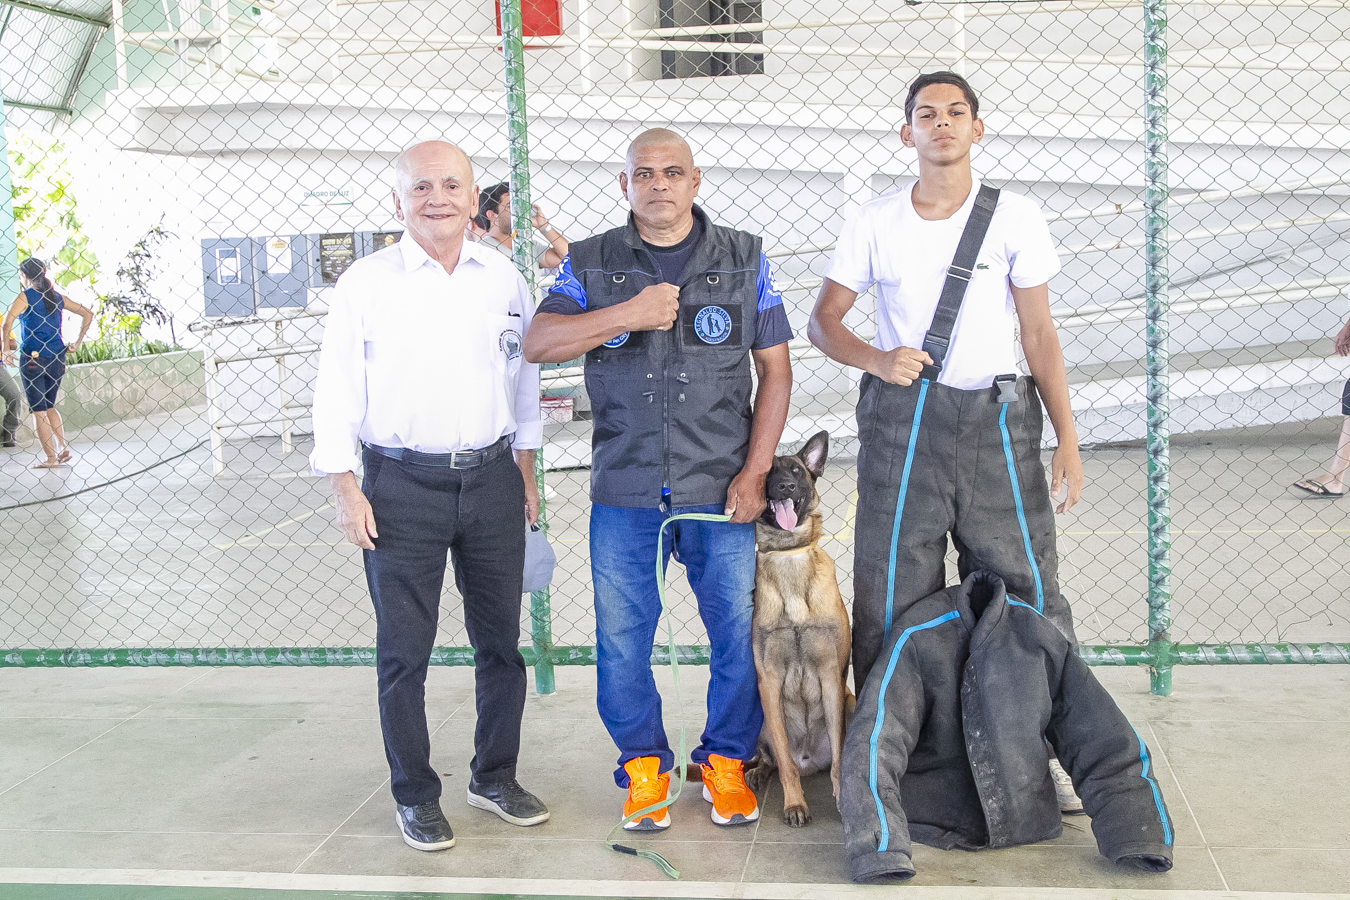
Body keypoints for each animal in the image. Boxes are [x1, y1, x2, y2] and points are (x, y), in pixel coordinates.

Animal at [746, 430, 854, 827]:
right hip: (760, 717)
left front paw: (843, 800)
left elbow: (840, 755)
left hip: (850, 701)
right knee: (774, 759)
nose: (786, 486)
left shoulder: (831, 676)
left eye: (796, 471)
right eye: (768, 472)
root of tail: (810, 761)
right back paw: (758, 772)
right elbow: (783, 759)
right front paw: (794, 803)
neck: (788, 555)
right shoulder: (769, 680)